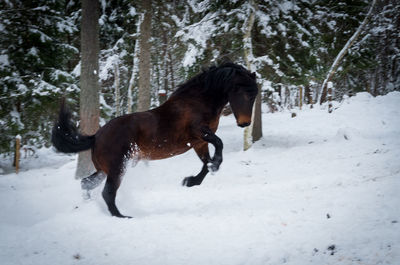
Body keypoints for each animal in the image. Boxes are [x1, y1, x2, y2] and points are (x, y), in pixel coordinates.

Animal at [51, 62, 258, 217]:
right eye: (243, 92)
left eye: (254, 95)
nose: (245, 123)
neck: (197, 102)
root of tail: (96, 137)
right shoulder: (200, 133)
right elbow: (219, 145)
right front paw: (213, 167)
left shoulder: (199, 142)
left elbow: (206, 164)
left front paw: (191, 181)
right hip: (118, 168)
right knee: (107, 193)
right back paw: (123, 217)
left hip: (104, 170)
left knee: (86, 183)